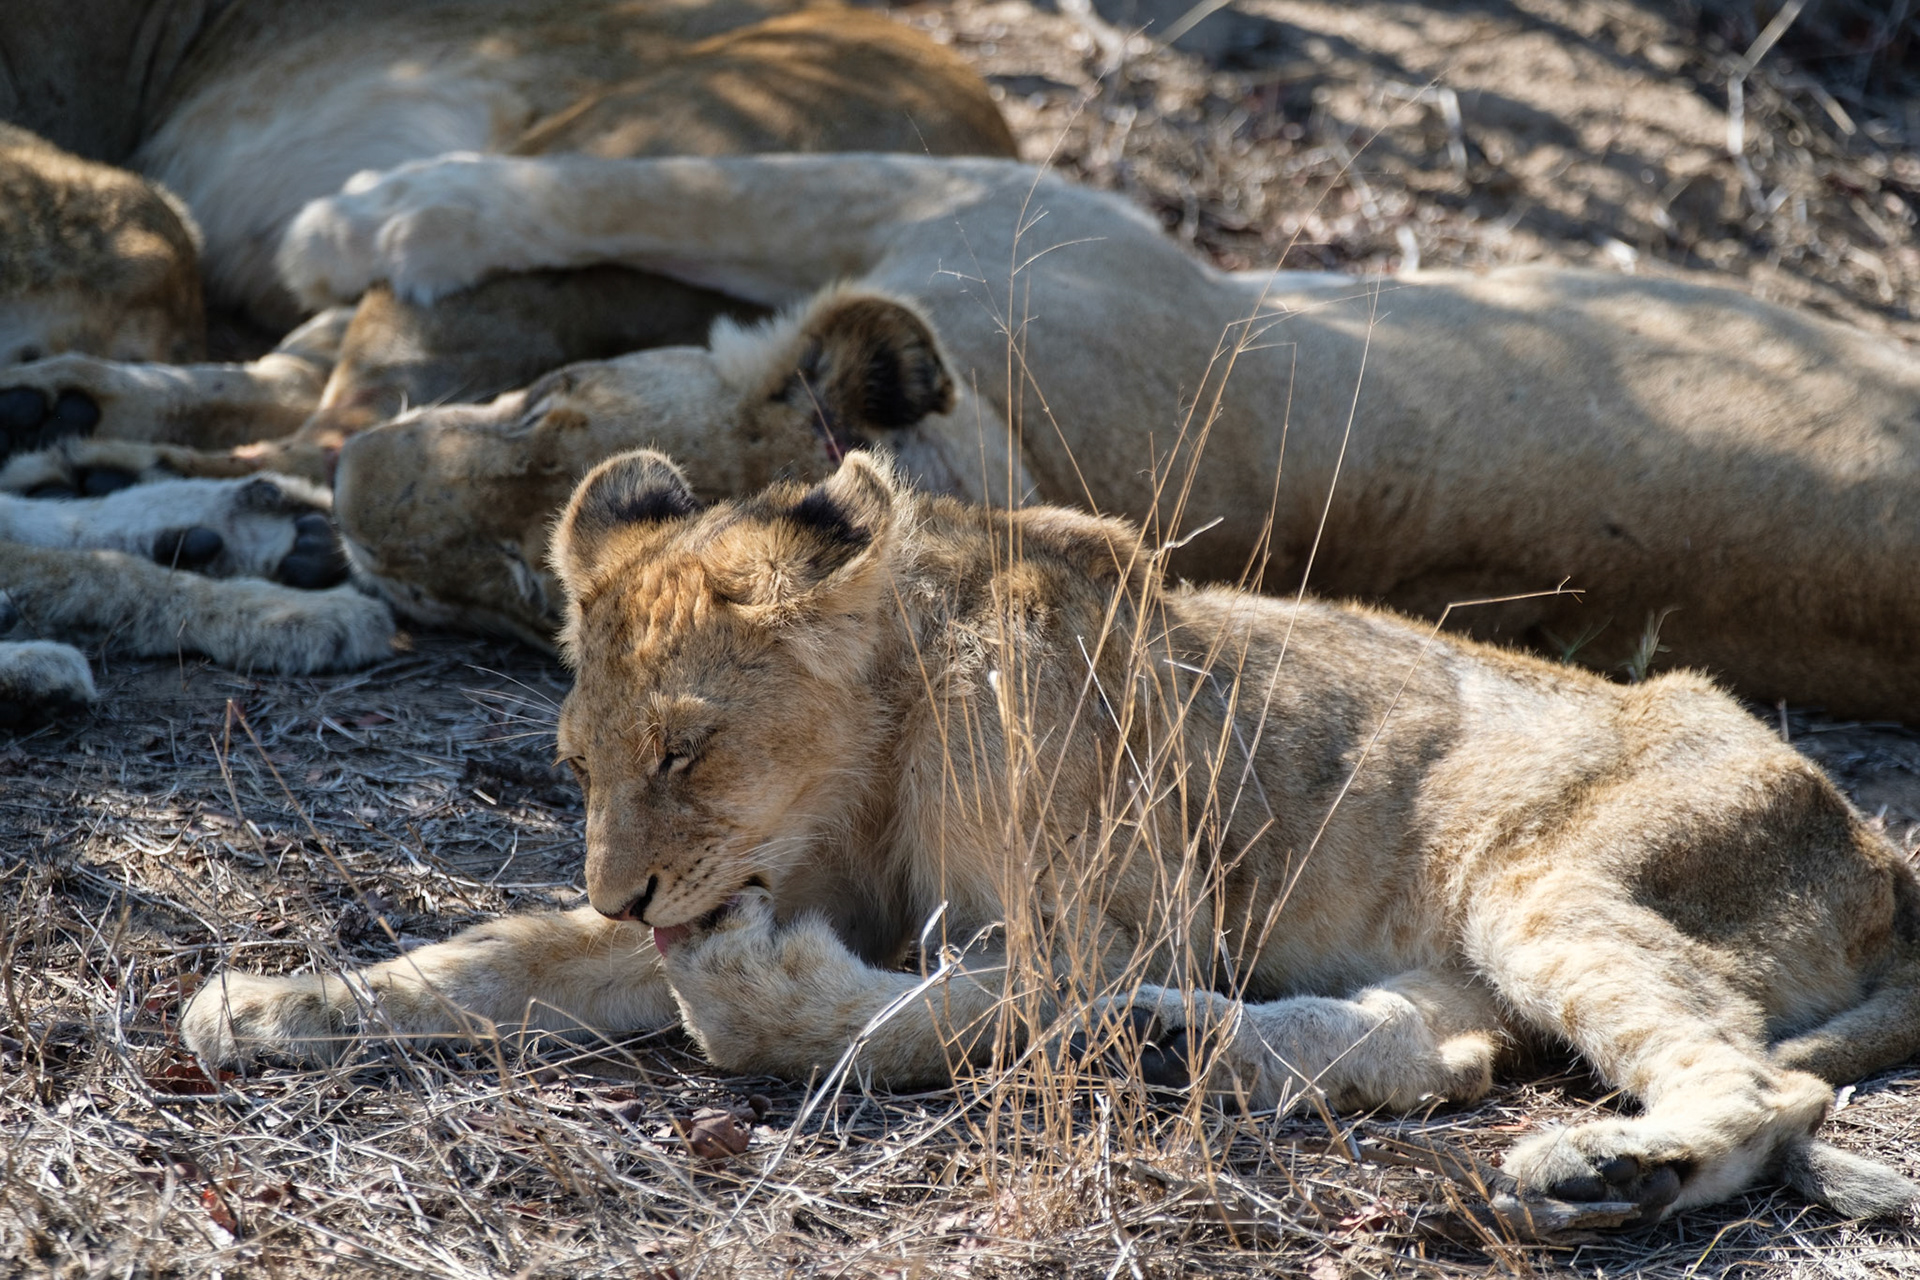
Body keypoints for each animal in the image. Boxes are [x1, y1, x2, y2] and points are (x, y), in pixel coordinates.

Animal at [184, 448, 1920, 1227]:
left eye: (685, 747)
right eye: (573, 763)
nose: (628, 890)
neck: (874, 759)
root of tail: (1884, 854)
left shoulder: (1111, 915)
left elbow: (911, 1017)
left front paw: (754, 998)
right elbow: (501, 958)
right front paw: (273, 1006)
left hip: (1546, 872)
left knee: (1757, 1079)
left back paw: (1608, 1169)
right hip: (1470, 932)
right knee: (1441, 1050)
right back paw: (1182, 1050)